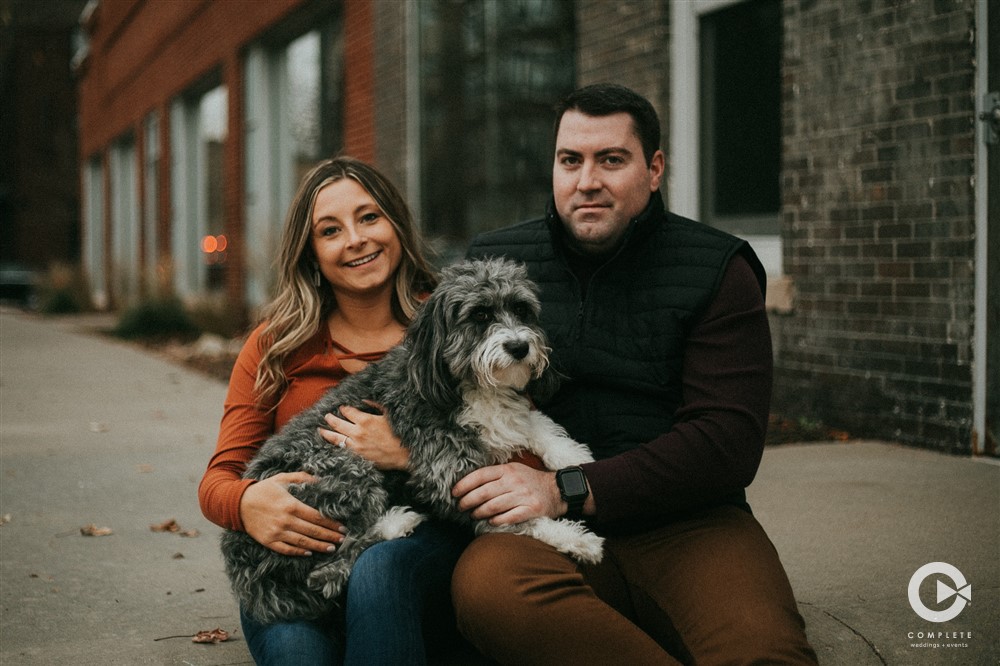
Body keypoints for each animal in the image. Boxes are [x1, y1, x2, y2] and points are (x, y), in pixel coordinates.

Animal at [223, 255, 600, 624]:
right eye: (479, 315)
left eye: (521, 309)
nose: (519, 346)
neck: (464, 383)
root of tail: (244, 569)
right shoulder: (451, 471)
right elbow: (516, 517)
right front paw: (575, 539)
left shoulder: (501, 422)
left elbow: (533, 422)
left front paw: (571, 456)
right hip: (344, 467)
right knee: (331, 568)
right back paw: (395, 522)